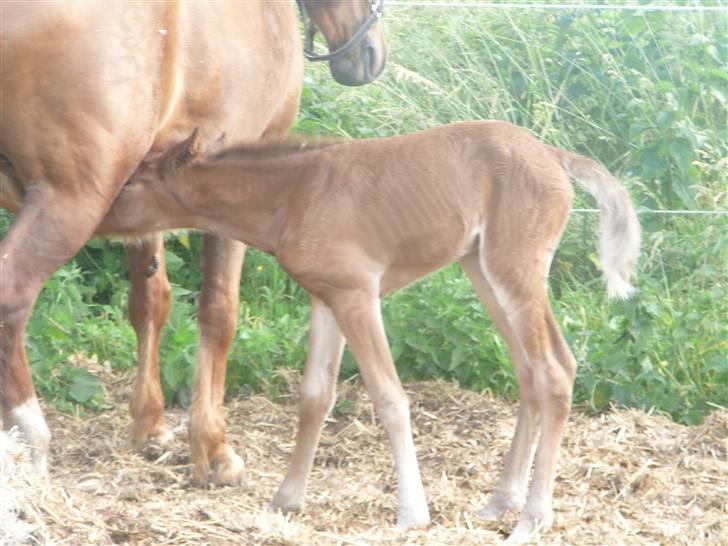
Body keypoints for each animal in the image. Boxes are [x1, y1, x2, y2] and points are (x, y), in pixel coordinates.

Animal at [0, 0, 386, 484]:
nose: (369, 55)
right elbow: (219, 312)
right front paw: (213, 448)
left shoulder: (147, 189)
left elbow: (150, 301)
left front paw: (150, 427)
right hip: (69, 202)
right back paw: (29, 436)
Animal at [99, 121, 640, 540]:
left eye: (132, 183)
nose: (98, 218)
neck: (292, 196)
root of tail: (553, 155)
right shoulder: (326, 298)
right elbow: (315, 396)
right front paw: (286, 500)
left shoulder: (358, 293)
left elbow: (389, 395)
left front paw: (412, 513)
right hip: (483, 270)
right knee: (534, 370)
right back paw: (499, 501)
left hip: (513, 269)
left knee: (553, 371)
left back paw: (531, 519)